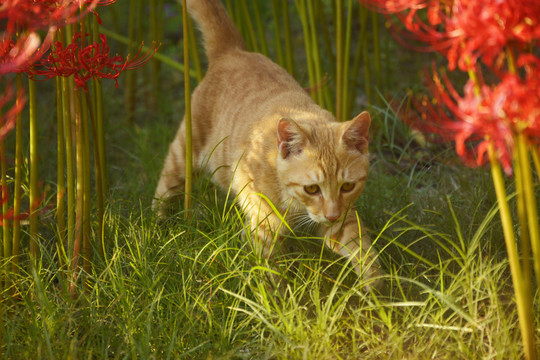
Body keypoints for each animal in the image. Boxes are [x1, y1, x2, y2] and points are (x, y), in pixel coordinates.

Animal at [154, 0, 382, 286]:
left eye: (347, 186)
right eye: (311, 189)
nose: (331, 215)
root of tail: (233, 51)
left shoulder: (342, 221)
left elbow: (361, 248)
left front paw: (375, 288)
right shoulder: (264, 224)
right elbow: (268, 272)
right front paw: (276, 295)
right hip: (183, 153)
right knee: (164, 188)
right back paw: (156, 227)